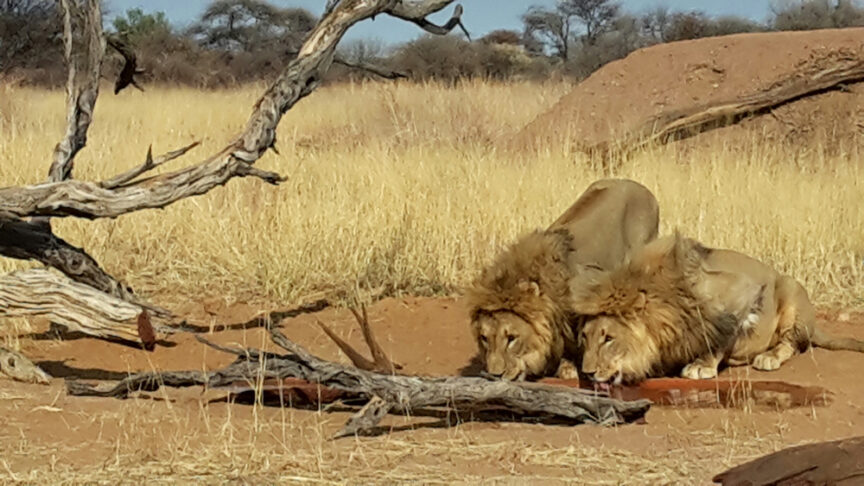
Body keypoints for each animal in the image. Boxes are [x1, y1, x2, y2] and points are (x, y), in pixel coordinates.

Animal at [571, 234, 864, 385]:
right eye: (584, 337)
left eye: (609, 339)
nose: (587, 373)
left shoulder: (739, 291)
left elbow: (719, 335)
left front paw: (701, 366)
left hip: (791, 288)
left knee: (791, 344)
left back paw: (768, 357)